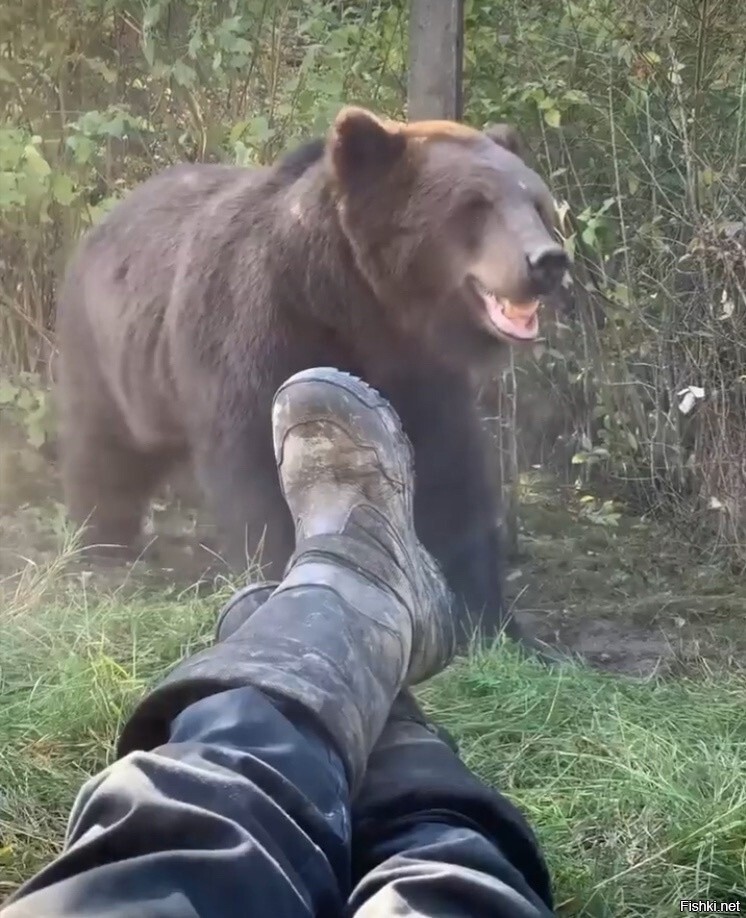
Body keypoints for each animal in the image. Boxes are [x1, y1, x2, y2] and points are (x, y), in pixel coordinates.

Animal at [55, 106, 568, 656]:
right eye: (475, 204)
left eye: (536, 203)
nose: (546, 261)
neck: (353, 304)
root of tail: (102, 224)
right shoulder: (258, 338)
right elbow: (259, 473)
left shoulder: (423, 372)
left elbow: (454, 477)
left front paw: (498, 623)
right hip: (107, 356)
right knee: (105, 451)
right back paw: (102, 542)